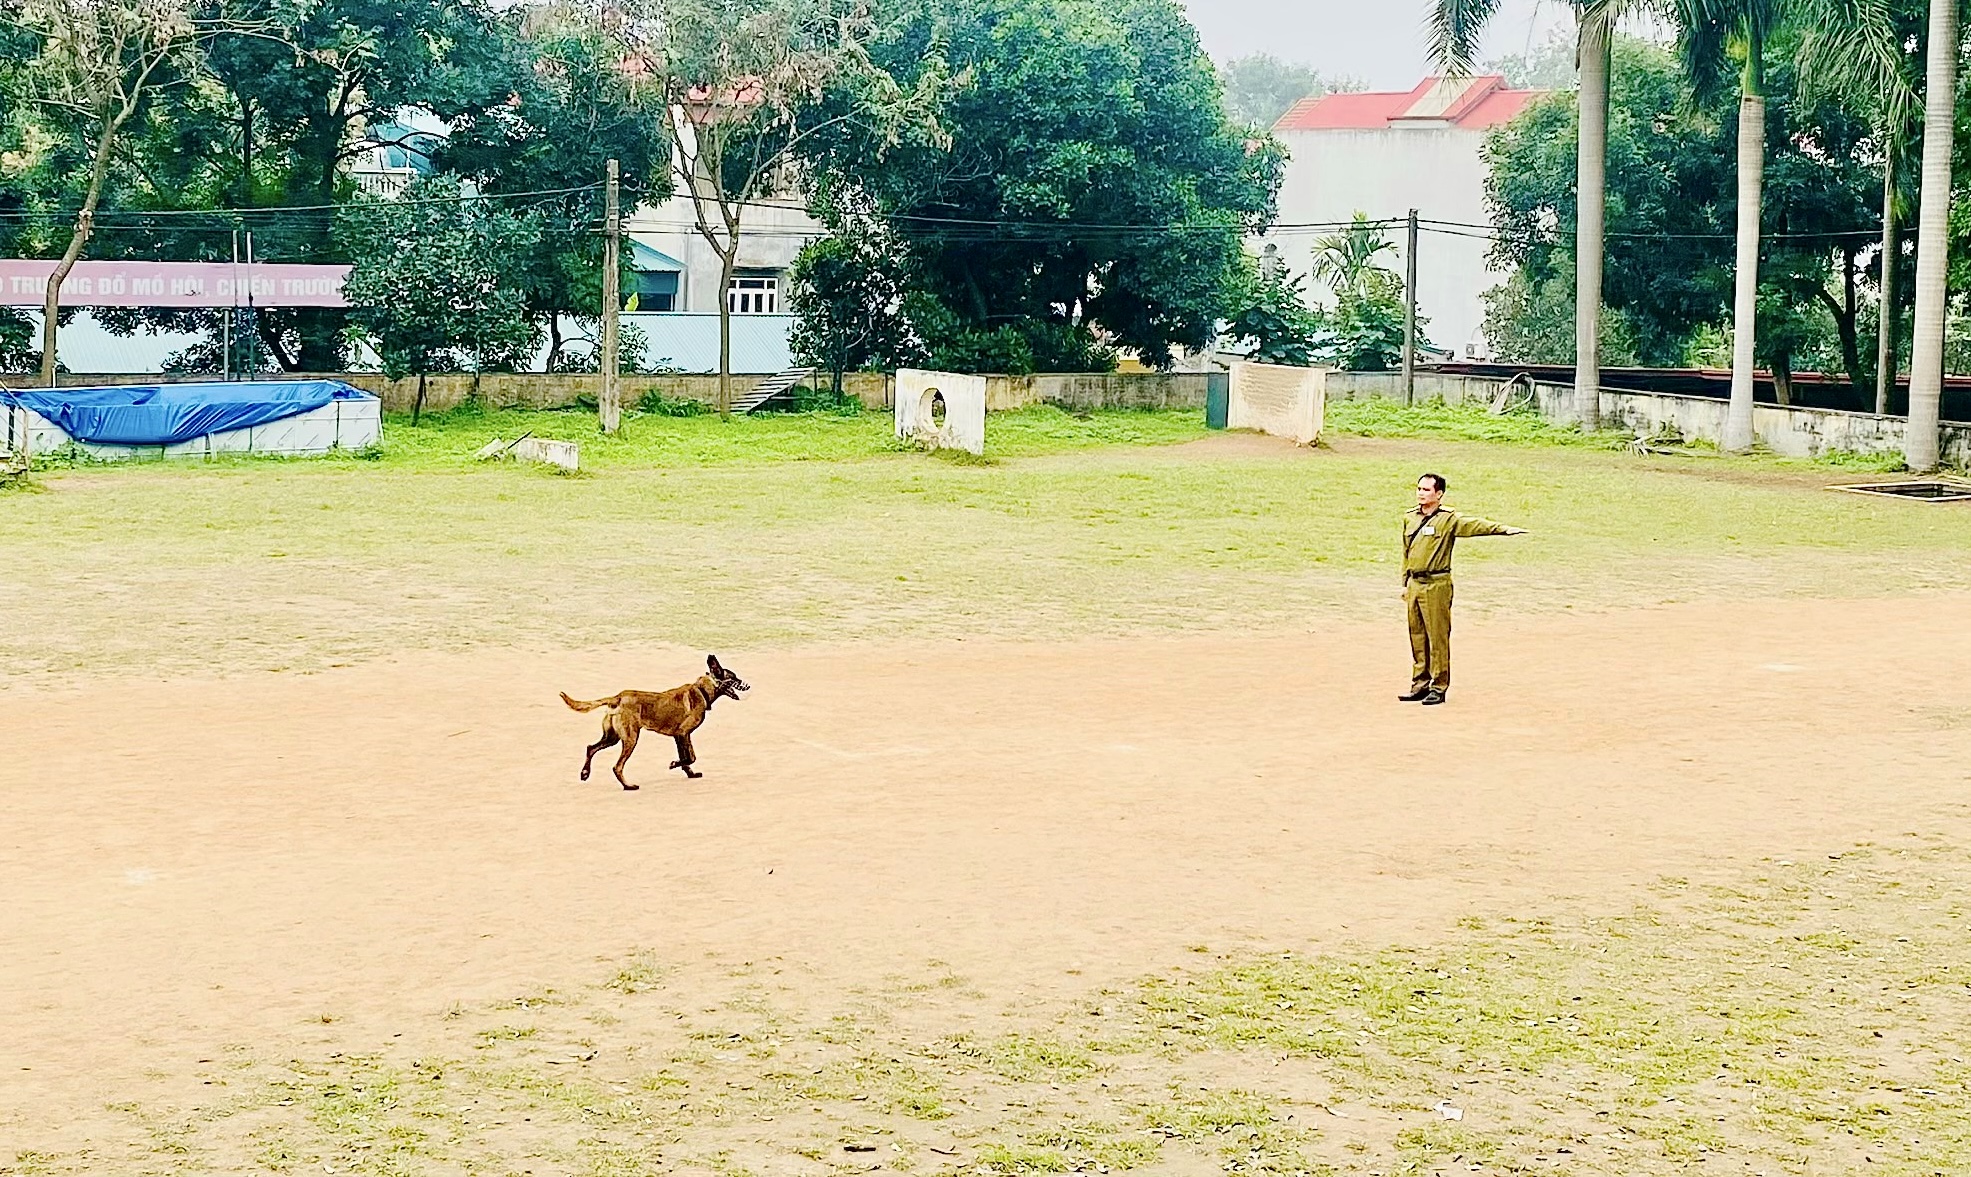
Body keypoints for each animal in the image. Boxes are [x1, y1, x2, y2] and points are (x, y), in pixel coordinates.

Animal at [559, 650, 748, 788]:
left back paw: (585, 773)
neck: (702, 690)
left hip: (612, 737)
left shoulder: (681, 736)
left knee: (591, 748)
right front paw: (674, 764)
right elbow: (689, 757)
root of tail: (617, 697)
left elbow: (688, 757)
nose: (748, 685)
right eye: (733, 678)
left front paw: (690, 773)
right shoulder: (682, 733)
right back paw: (628, 786)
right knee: (616, 766)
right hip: (630, 738)